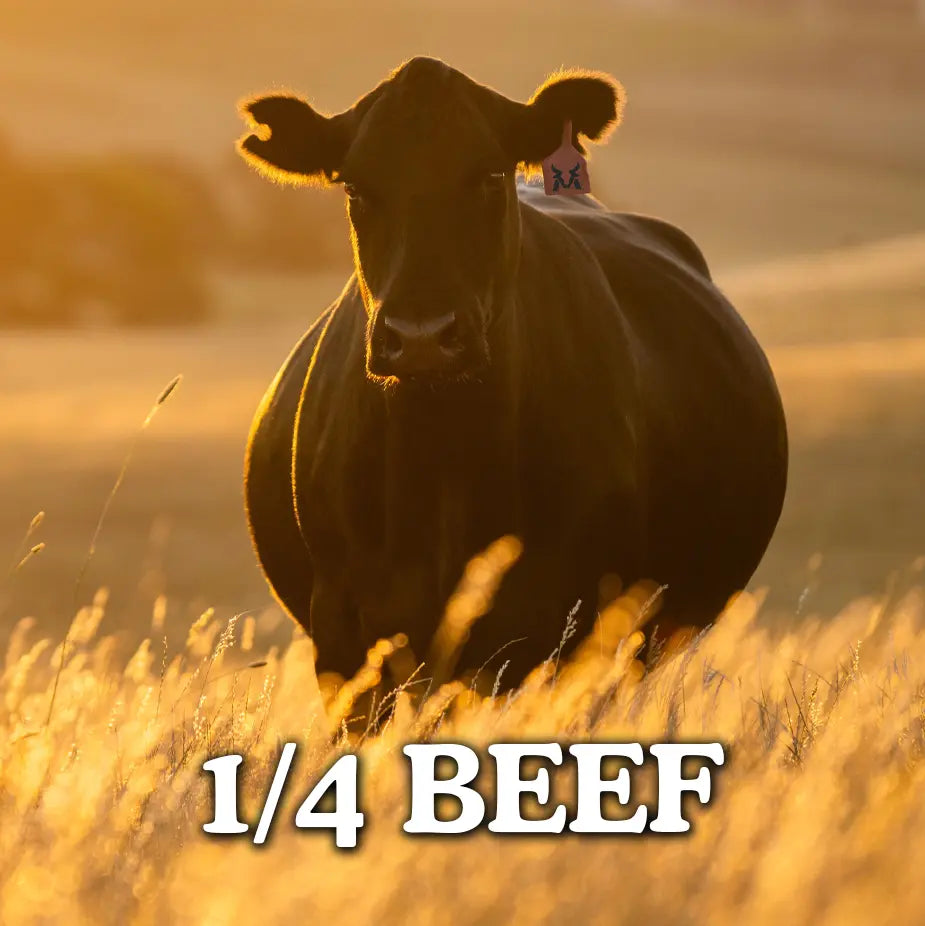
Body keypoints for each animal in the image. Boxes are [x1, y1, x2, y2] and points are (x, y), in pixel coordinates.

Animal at [236, 57, 788, 688]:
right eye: (355, 187)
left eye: (490, 175)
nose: (422, 337)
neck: (446, 458)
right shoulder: (347, 640)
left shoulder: (570, 629)